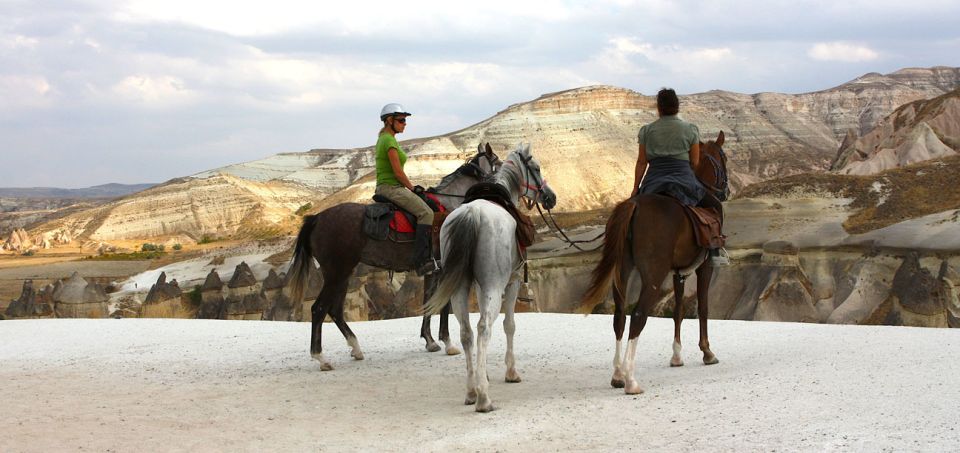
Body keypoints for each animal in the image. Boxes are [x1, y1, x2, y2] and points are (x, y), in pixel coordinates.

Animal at [286, 144, 502, 368]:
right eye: (498, 161)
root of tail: (316, 219)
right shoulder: (447, 268)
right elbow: (443, 305)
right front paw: (448, 343)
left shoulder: (432, 270)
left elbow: (428, 302)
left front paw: (430, 341)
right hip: (337, 272)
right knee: (319, 309)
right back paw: (321, 357)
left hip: (342, 274)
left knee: (334, 310)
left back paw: (355, 348)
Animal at [580, 130, 732, 392]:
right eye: (723, 158)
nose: (725, 191)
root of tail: (633, 205)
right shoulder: (704, 268)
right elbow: (702, 307)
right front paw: (707, 352)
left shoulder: (679, 272)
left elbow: (678, 309)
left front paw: (677, 355)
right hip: (653, 273)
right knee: (638, 315)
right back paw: (631, 380)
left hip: (622, 271)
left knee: (619, 316)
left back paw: (617, 375)